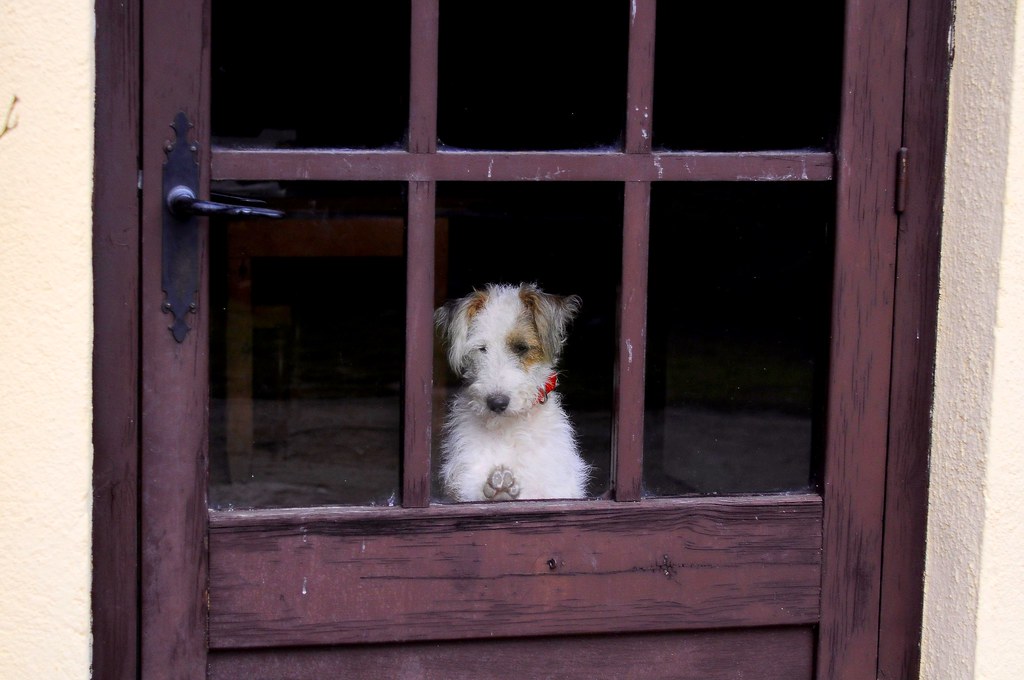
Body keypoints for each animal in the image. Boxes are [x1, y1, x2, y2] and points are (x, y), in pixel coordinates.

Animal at [434, 284, 593, 501]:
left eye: (521, 348)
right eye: (481, 348)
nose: (496, 403)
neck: (507, 430)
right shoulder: (466, 483)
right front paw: (499, 487)